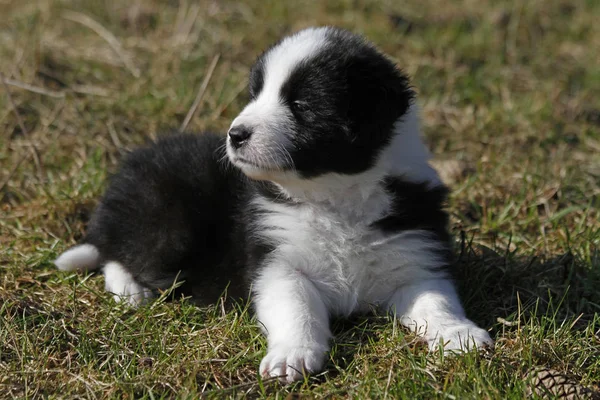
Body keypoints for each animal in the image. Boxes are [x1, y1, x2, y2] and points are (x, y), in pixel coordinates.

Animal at [55, 26, 492, 382]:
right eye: (256, 94)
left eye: (301, 105)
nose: (235, 134)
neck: (335, 196)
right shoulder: (277, 263)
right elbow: (297, 309)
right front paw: (292, 356)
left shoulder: (416, 259)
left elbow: (436, 301)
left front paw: (459, 333)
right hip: (166, 223)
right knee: (116, 251)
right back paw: (131, 291)